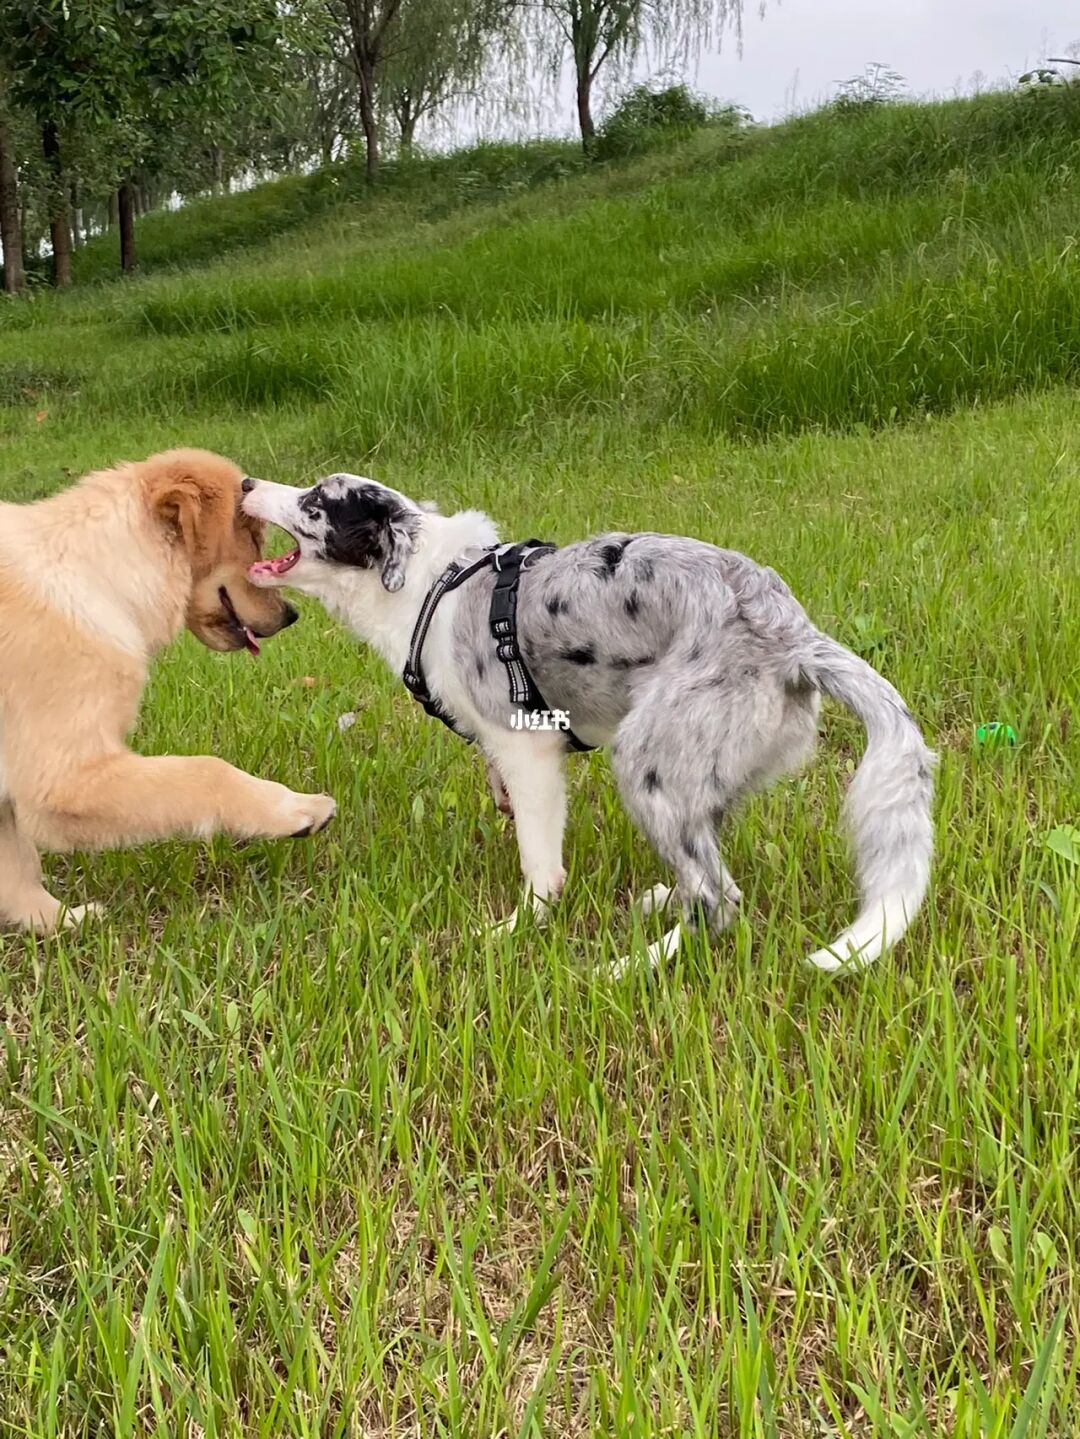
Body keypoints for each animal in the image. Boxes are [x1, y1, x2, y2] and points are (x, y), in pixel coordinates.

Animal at [0, 448, 336, 932]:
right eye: (252, 537)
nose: (290, 615)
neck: (99, 576)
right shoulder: (64, 779)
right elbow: (207, 771)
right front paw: (299, 809)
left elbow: (17, 867)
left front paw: (58, 922)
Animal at [240, 477, 931, 972]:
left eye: (315, 500)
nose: (245, 480)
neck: (433, 585)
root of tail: (793, 637)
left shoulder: (527, 750)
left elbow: (541, 870)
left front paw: (515, 929)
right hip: (699, 774)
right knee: (705, 870)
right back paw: (662, 901)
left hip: (647, 761)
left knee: (719, 900)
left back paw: (627, 967)